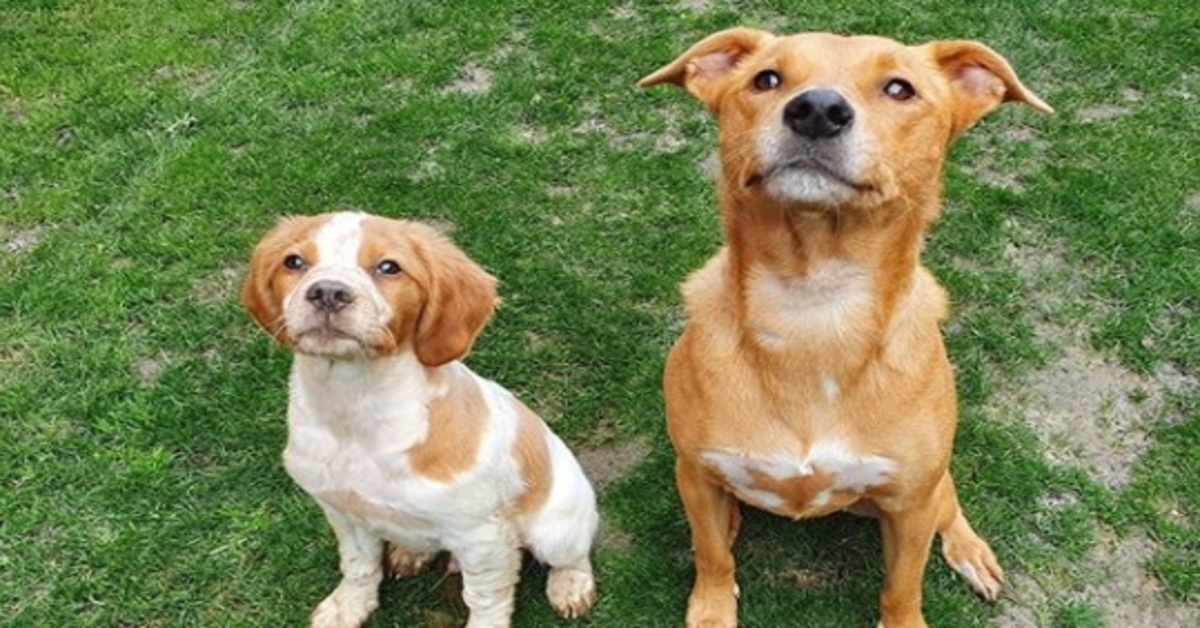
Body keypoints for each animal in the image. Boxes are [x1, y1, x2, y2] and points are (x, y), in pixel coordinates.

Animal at [243, 213, 600, 628]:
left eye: (388, 267)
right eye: (294, 262)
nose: (328, 292)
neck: (354, 407)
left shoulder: (481, 534)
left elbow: (485, 600)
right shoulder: (342, 510)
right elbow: (358, 564)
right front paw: (348, 607)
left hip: (555, 530)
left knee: (573, 554)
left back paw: (570, 585)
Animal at [638, 27, 1051, 624]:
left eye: (899, 88)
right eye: (766, 79)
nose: (816, 110)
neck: (813, 308)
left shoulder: (910, 505)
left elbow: (903, 586)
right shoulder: (694, 471)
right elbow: (713, 554)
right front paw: (712, 607)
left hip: (928, 483)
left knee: (948, 501)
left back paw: (969, 550)